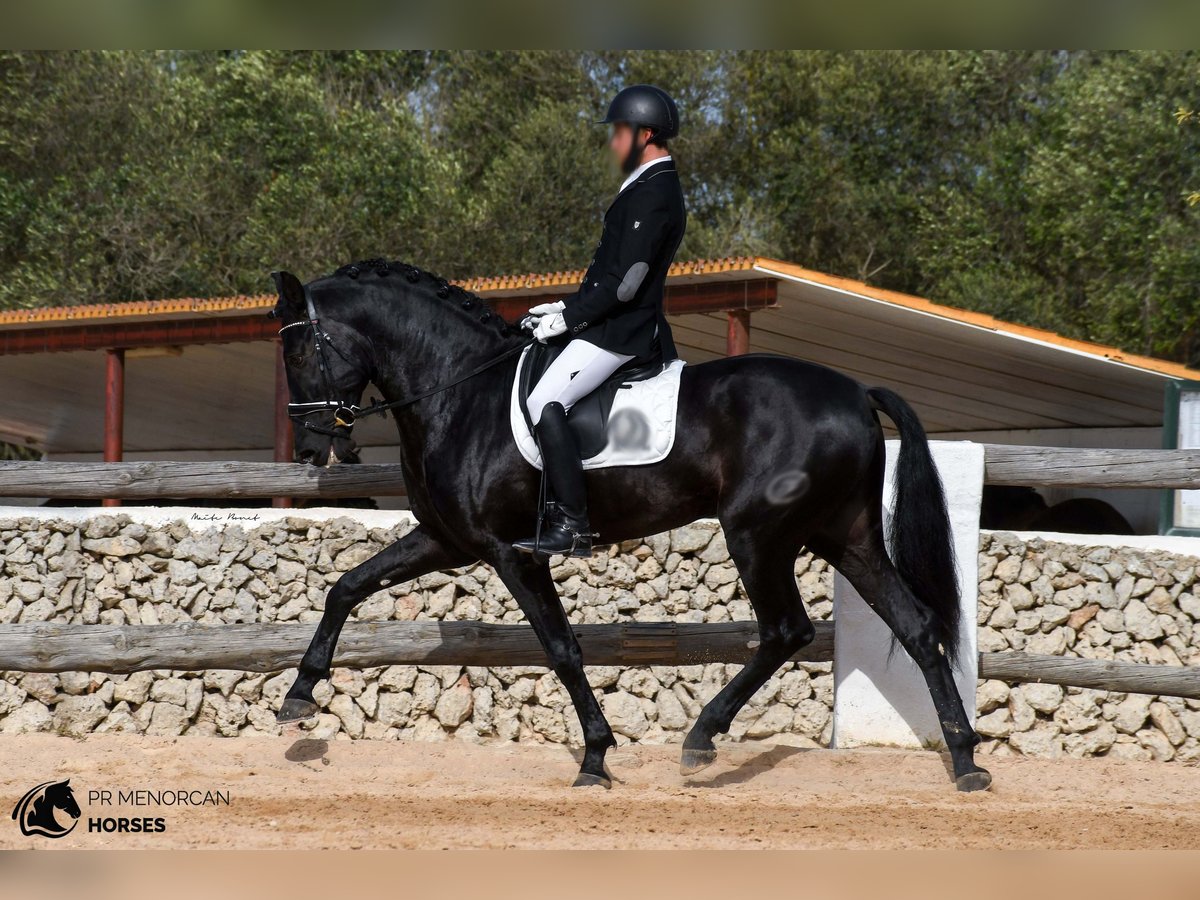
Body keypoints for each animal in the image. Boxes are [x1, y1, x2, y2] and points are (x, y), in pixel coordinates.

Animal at [274, 260, 993, 796]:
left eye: (302, 346)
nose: (310, 446)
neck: (461, 393)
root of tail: (855, 393)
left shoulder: (513, 553)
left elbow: (562, 648)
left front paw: (595, 757)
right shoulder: (448, 541)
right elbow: (346, 587)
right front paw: (299, 696)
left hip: (757, 535)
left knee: (786, 630)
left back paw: (701, 739)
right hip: (844, 536)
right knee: (916, 625)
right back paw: (965, 762)